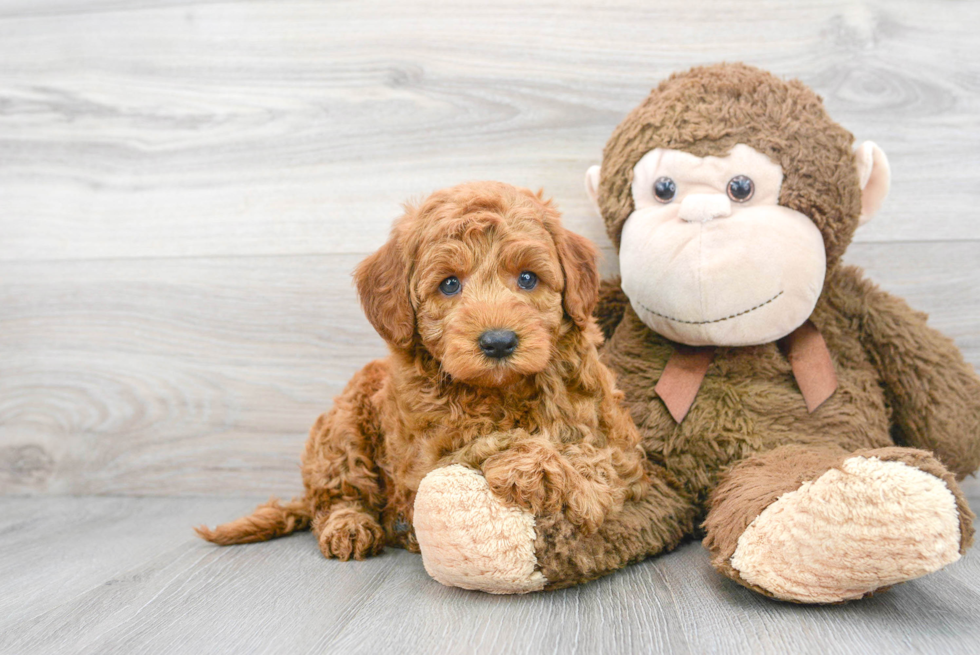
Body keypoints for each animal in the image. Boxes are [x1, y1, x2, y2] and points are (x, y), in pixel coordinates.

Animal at [196, 179, 652, 568]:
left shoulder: (614, 435)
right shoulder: (429, 455)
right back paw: (352, 526)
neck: (501, 392)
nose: (499, 342)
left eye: (527, 278)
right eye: (449, 284)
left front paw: (565, 481)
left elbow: (604, 461)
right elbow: (484, 442)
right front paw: (531, 465)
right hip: (341, 429)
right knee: (337, 494)